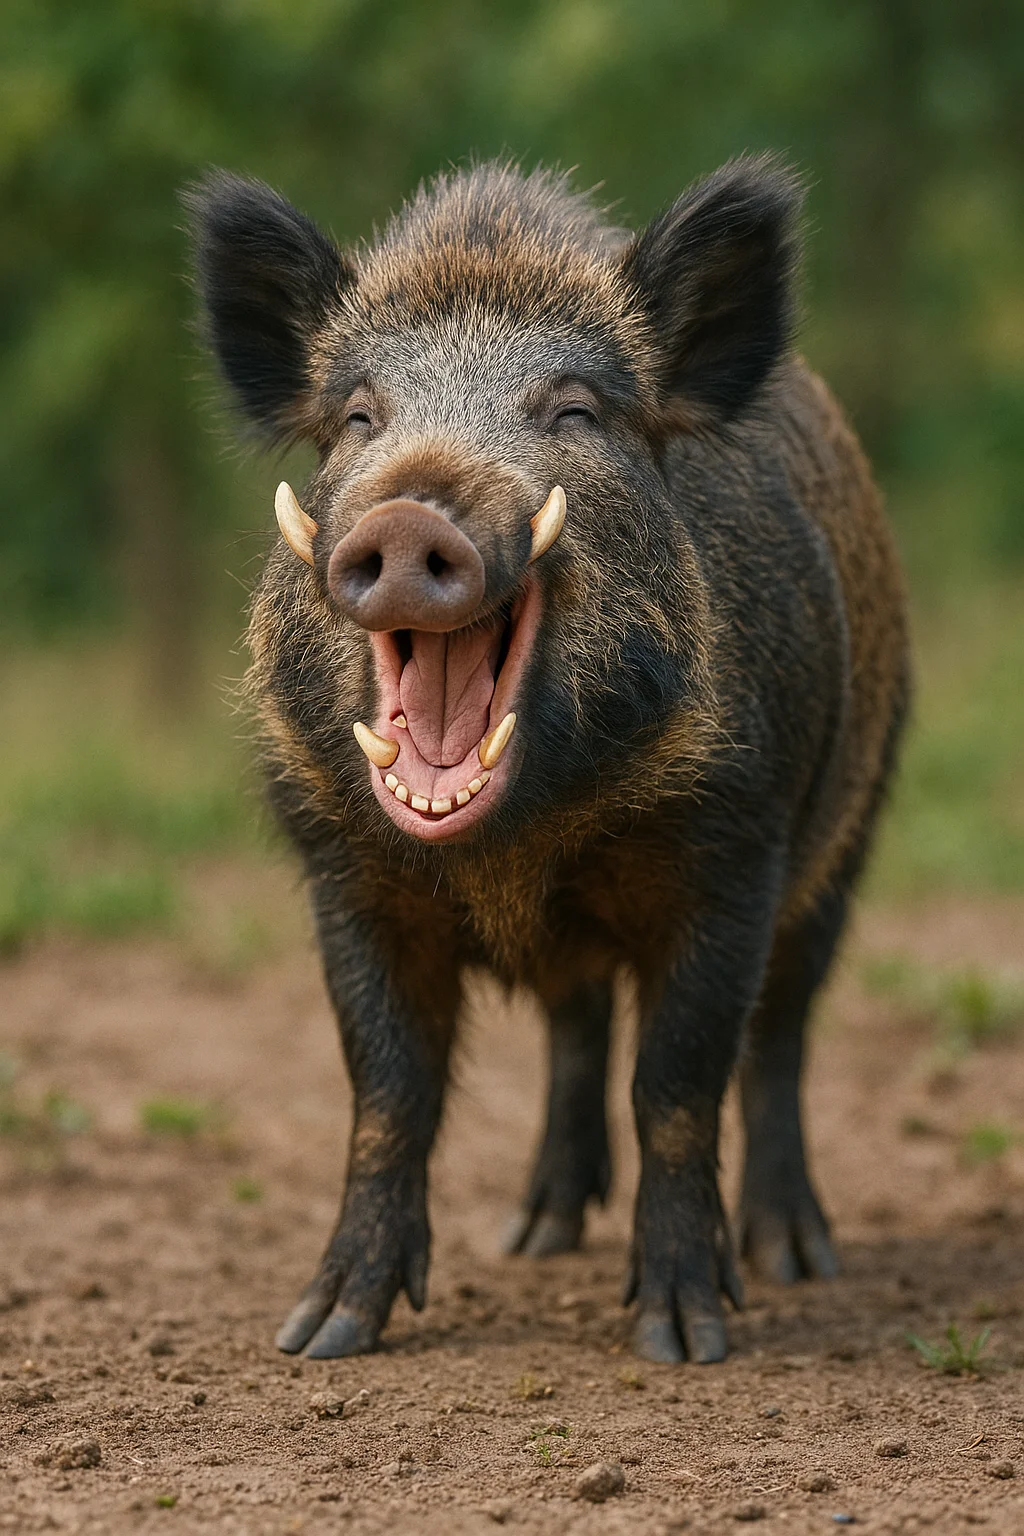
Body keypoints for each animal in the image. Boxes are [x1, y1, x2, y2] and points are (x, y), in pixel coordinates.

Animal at [186, 157, 909, 1364]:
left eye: (574, 410)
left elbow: (677, 1081)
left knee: (781, 1034)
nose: (407, 513)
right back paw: (535, 1236)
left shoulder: (736, 850)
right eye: (358, 416)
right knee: (576, 1023)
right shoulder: (341, 869)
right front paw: (320, 1334)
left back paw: (797, 1258)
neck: (514, 853)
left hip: (853, 826)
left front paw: (683, 1340)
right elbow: (387, 1091)